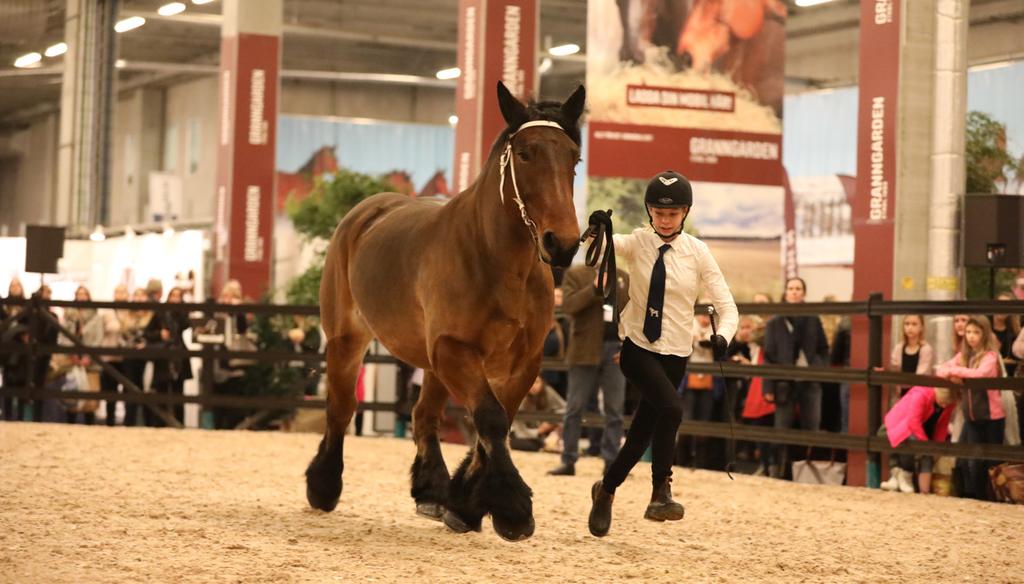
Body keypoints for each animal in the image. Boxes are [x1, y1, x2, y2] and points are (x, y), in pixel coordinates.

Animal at [303, 79, 585, 536]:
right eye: (525, 154)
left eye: (574, 158)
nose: (562, 243)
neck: (498, 262)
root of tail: (366, 211)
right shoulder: (456, 350)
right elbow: (491, 418)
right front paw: (511, 508)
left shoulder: (523, 362)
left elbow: (499, 421)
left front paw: (466, 503)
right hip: (349, 340)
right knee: (341, 409)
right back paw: (324, 485)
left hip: (432, 365)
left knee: (423, 415)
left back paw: (432, 490)